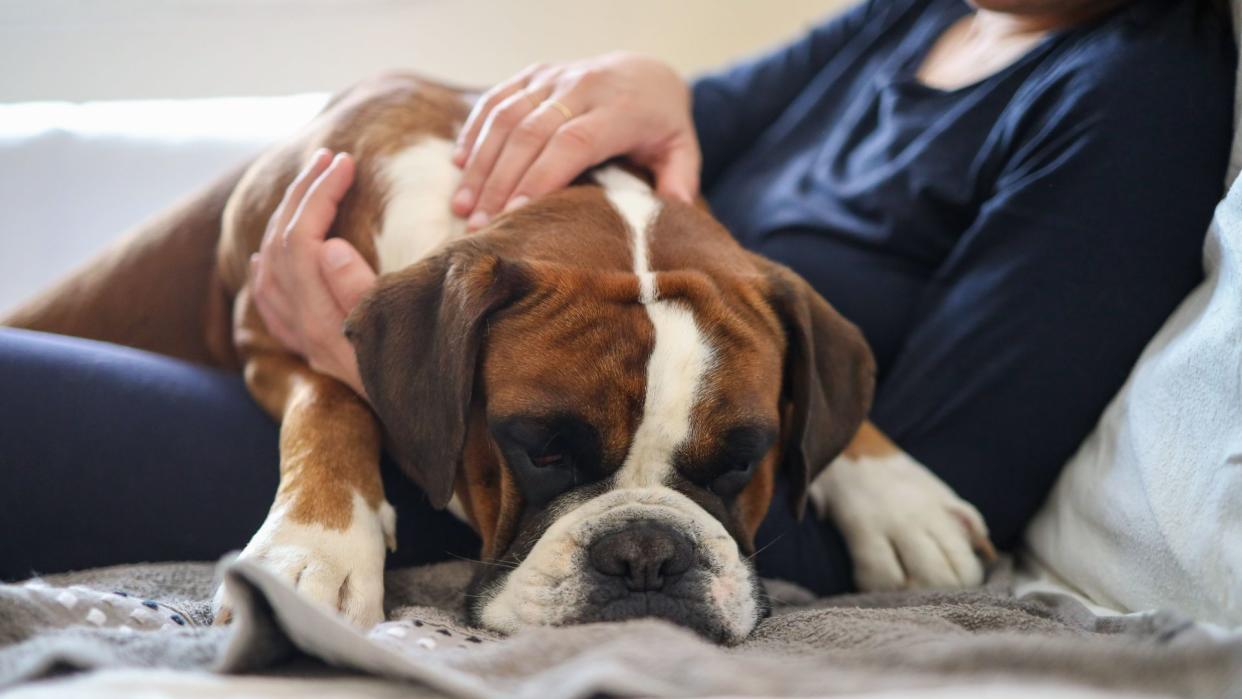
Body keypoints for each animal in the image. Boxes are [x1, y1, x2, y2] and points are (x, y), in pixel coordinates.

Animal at [0, 72, 988, 645]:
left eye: (742, 462)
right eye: (538, 450)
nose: (646, 551)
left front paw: (896, 492)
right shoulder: (267, 318)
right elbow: (334, 394)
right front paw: (318, 547)